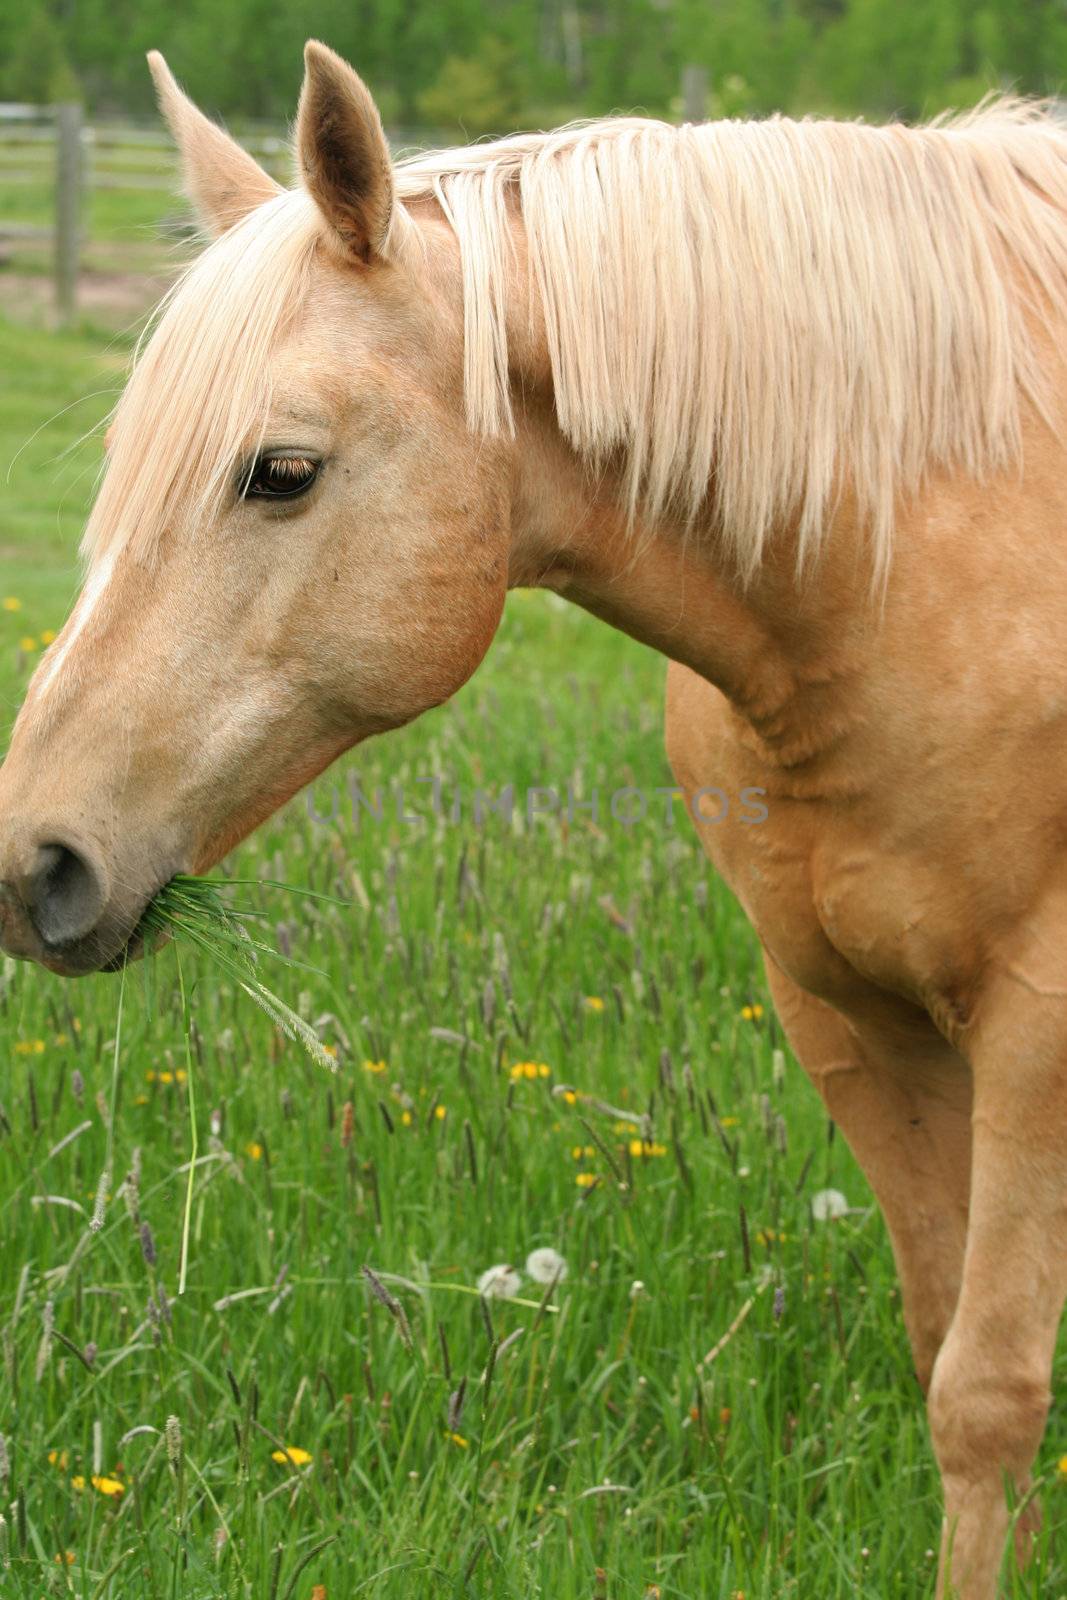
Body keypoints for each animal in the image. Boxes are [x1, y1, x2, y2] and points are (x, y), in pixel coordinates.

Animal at [2, 40, 1067, 1600]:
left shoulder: (1032, 1033)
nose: (35, 861)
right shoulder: (847, 1021)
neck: (916, 545)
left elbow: (986, 1390)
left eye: (280, 471)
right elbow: (948, 1345)